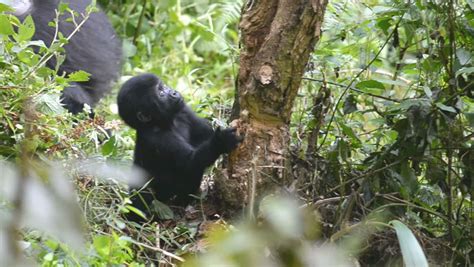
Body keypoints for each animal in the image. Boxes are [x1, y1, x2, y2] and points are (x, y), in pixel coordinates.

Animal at [117, 74, 243, 220]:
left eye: (163, 86)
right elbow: (191, 161)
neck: (163, 122)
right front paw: (221, 141)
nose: (173, 92)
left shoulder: (183, 110)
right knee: (140, 198)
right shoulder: (158, 138)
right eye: (160, 93)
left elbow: (206, 134)